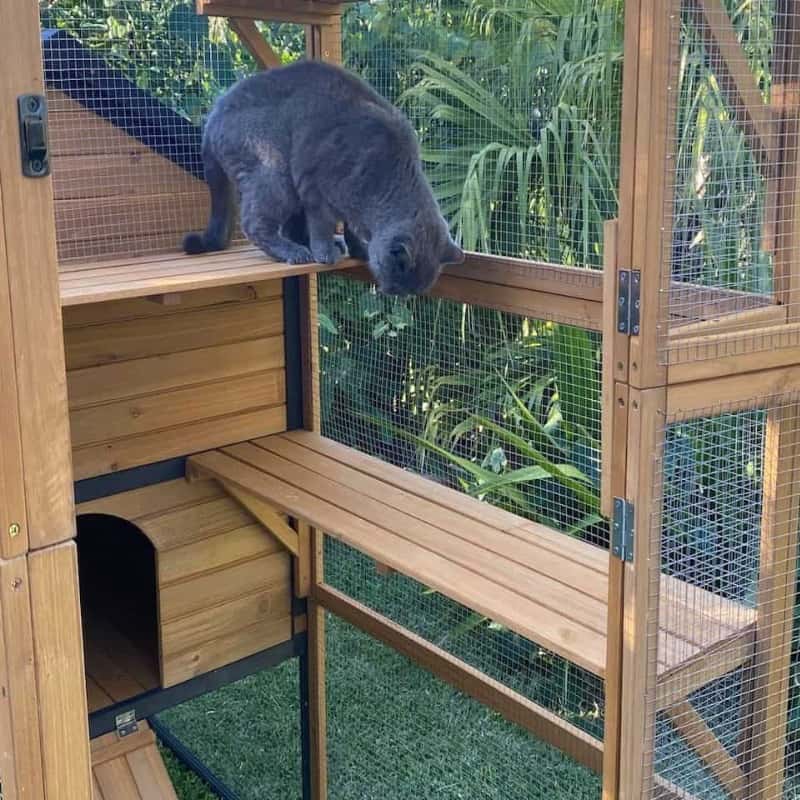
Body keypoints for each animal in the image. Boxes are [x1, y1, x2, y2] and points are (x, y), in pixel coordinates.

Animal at [182, 59, 466, 296]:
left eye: (411, 291)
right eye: (397, 280)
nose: (394, 294)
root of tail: (213, 117)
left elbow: (350, 228)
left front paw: (358, 249)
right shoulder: (314, 185)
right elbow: (322, 223)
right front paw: (325, 252)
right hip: (274, 170)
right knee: (255, 223)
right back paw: (296, 251)